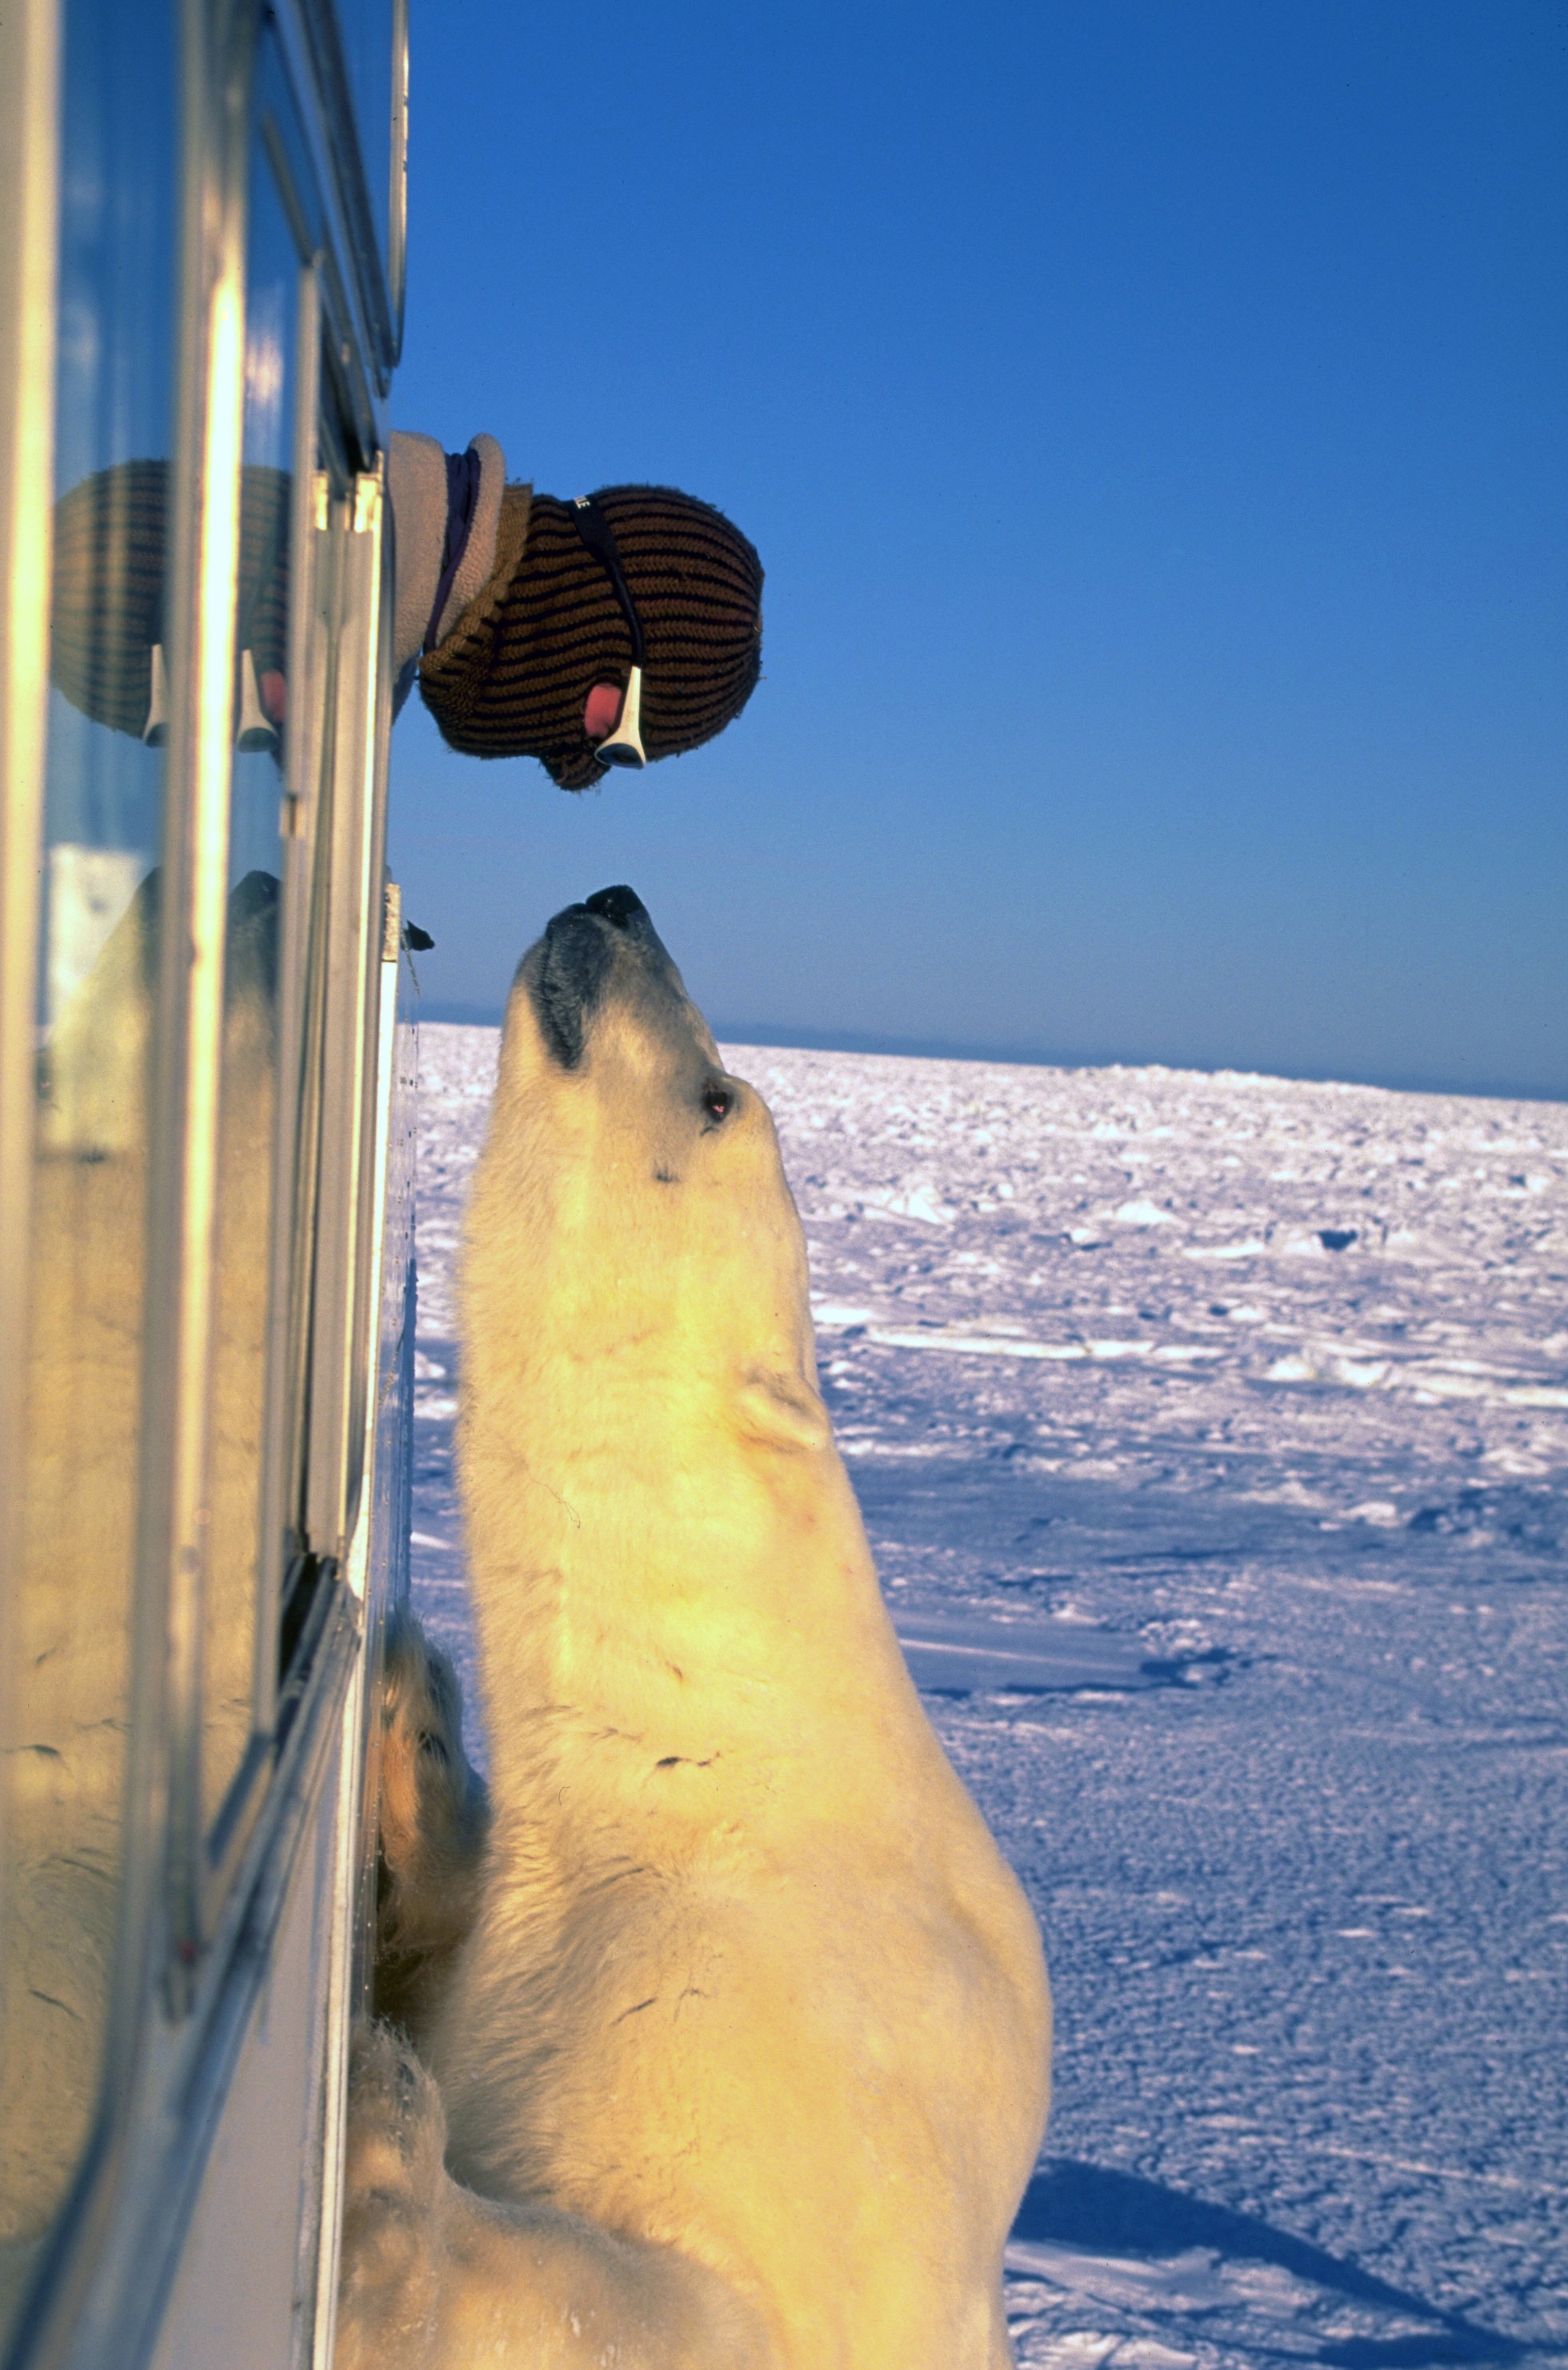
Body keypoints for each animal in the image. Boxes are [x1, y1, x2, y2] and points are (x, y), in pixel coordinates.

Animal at [341, 891, 1056, 2370]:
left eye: (718, 1095)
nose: (616, 902)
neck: (707, 1769)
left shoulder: (784, 2055)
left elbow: (683, 2301)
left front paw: (390, 2161)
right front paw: (407, 1726)